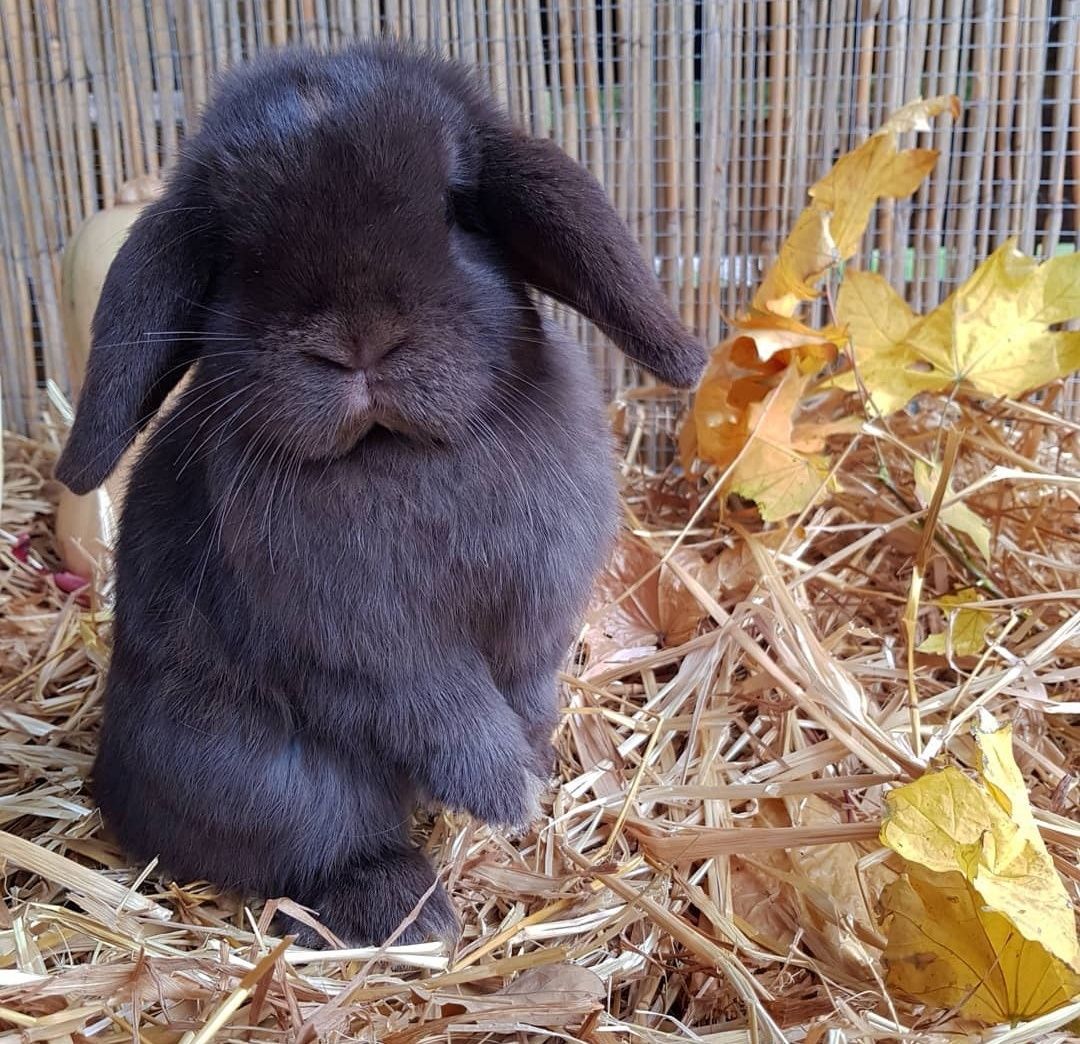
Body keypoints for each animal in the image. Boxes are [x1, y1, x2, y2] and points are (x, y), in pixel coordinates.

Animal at [54, 40, 704, 945]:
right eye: (238, 253)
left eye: (457, 209)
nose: (360, 342)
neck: (395, 449)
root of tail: (112, 789)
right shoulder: (370, 647)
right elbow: (443, 708)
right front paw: (507, 790)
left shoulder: (539, 610)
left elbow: (526, 684)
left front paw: (535, 763)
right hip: (270, 781)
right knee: (320, 851)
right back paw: (411, 910)